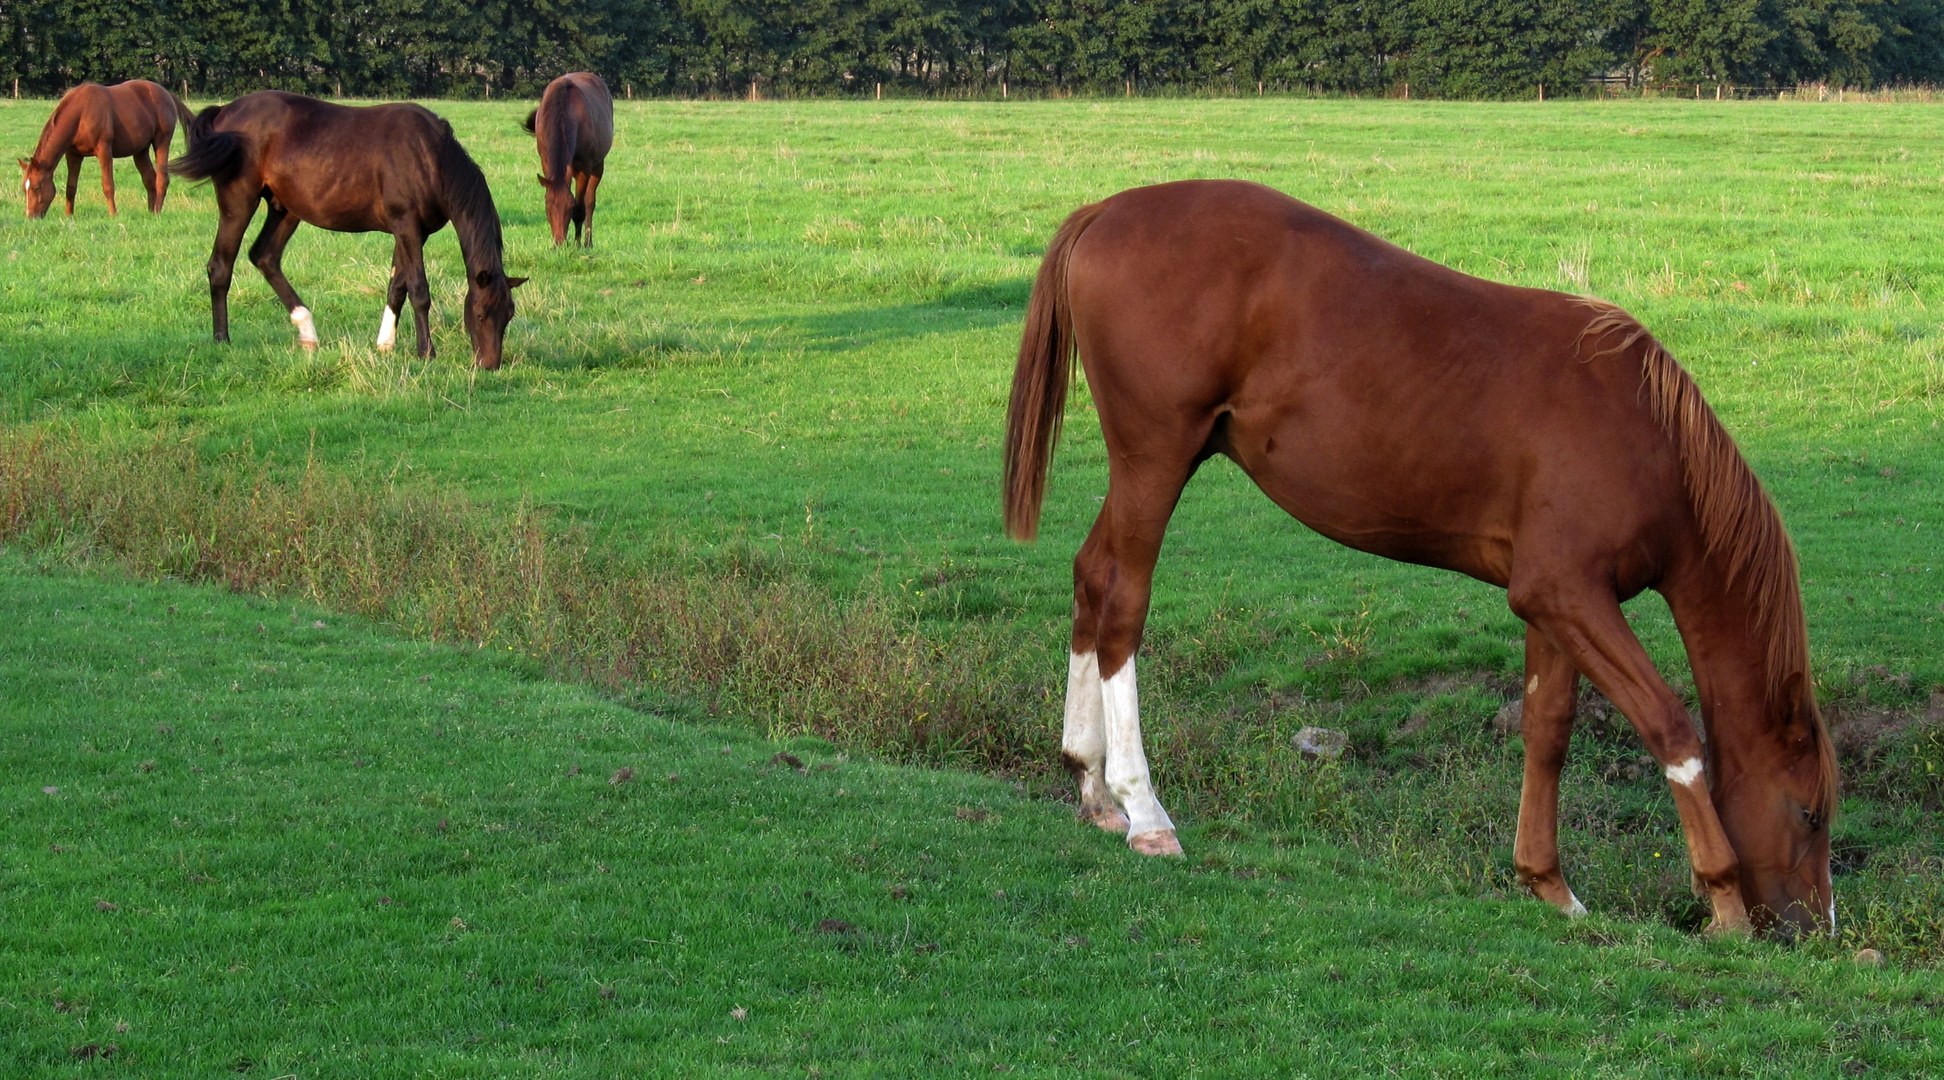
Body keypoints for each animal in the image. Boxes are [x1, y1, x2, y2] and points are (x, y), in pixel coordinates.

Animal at [17, 80, 193, 217]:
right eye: (24, 188)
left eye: (37, 187)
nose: (30, 216)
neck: (81, 113)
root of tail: (167, 94)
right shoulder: (73, 155)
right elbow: (71, 187)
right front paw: (68, 215)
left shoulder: (104, 151)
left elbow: (108, 185)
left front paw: (113, 214)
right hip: (140, 151)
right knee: (150, 179)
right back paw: (150, 212)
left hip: (161, 143)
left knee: (162, 180)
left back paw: (156, 212)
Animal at [520, 73, 610, 246]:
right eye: (548, 207)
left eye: (569, 208)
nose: (559, 243)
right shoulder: (545, 161)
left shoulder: (584, 167)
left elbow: (580, 208)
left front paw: (578, 244)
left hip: (598, 166)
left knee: (590, 201)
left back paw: (588, 242)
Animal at [1010, 181, 1842, 940]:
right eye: (1810, 813)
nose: (1813, 928)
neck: (1645, 434)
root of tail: (1106, 211)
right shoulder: (1570, 595)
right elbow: (1671, 728)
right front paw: (1722, 898)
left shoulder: (1553, 602)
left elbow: (1548, 729)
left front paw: (1550, 885)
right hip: (1155, 459)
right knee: (1123, 602)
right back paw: (1143, 807)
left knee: (1091, 580)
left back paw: (1091, 783)